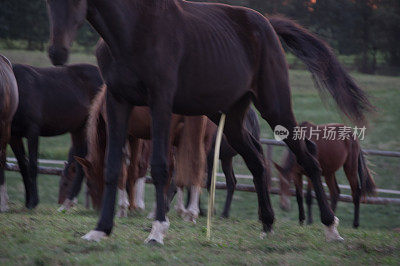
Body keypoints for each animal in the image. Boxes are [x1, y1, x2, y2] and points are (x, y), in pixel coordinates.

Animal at [10, 63, 102, 209]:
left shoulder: (33, 131)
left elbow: (32, 165)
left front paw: (33, 201)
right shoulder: (13, 136)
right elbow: (23, 166)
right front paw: (27, 201)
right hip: (78, 130)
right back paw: (69, 201)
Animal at [47, 0, 376, 245]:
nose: (56, 52)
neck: (133, 30)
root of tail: (268, 25)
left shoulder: (160, 103)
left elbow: (161, 168)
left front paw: (157, 231)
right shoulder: (118, 102)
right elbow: (115, 166)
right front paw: (100, 229)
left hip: (275, 107)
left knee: (307, 159)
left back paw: (331, 228)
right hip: (230, 118)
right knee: (257, 162)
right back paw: (268, 224)